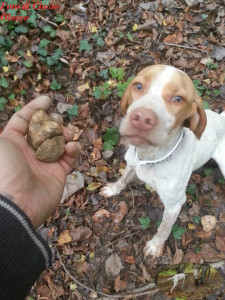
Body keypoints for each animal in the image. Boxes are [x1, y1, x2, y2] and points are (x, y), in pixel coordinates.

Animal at [100, 65, 225, 258]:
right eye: (138, 86)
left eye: (178, 99)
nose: (141, 118)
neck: (150, 157)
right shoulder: (131, 164)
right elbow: (122, 179)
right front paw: (113, 189)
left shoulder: (174, 205)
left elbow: (164, 228)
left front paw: (155, 246)